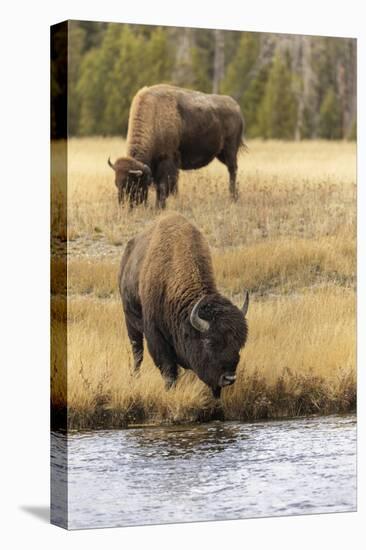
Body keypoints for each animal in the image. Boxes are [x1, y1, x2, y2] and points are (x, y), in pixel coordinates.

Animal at [108, 84, 246, 209]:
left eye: (132, 184)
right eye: (116, 183)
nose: (124, 206)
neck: (154, 116)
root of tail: (237, 108)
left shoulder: (168, 162)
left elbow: (163, 186)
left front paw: (160, 207)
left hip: (230, 151)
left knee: (232, 171)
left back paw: (232, 197)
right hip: (221, 154)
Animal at [120, 213, 249, 398]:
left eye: (239, 343)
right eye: (209, 342)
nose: (229, 378)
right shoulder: (156, 335)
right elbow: (168, 370)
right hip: (130, 321)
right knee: (137, 352)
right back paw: (135, 377)